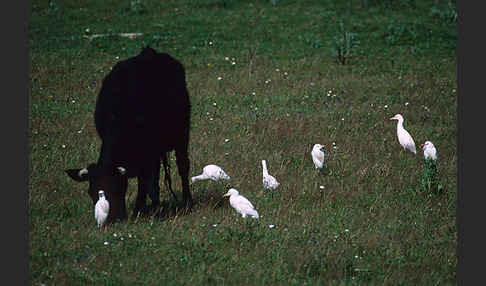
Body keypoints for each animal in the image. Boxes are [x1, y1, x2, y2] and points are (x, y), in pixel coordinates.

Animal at [65, 46, 194, 221]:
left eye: (118, 188)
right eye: (90, 192)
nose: (113, 218)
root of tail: (149, 53)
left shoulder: (151, 149)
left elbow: (151, 183)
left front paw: (152, 210)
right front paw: (140, 209)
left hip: (182, 133)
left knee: (182, 166)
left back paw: (187, 202)